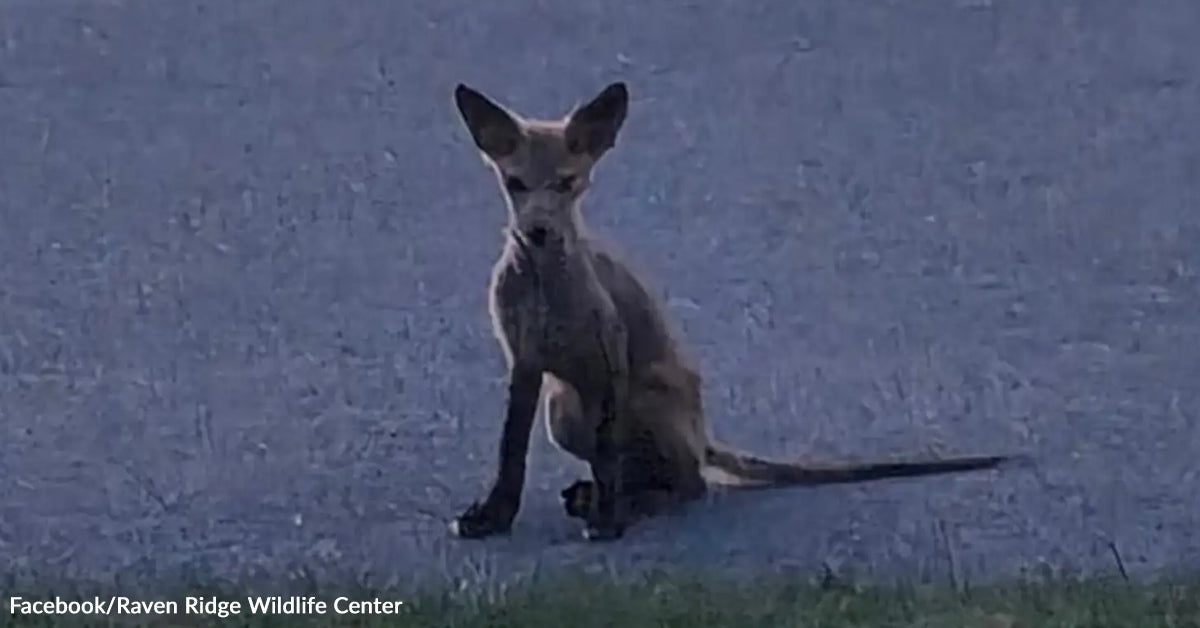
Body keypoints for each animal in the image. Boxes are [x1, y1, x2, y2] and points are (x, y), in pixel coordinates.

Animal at [447, 81, 1022, 542]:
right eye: (516, 184)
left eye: (567, 183)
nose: (539, 232)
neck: (546, 292)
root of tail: (703, 436)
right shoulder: (524, 362)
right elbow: (510, 455)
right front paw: (495, 517)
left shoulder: (610, 358)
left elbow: (607, 456)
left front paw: (609, 521)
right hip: (563, 408)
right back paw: (595, 496)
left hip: (631, 398)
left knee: (688, 484)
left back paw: (625, 503)